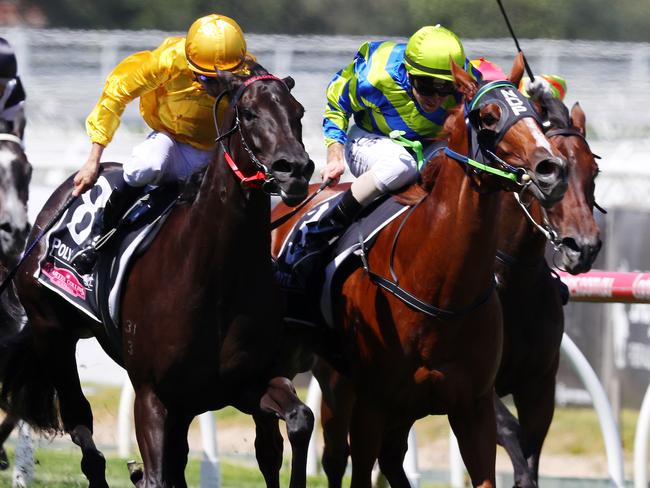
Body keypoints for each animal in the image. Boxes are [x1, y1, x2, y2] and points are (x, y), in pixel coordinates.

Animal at [0, 62, 314, 488]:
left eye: (298, 113)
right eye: (249, 113)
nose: (295, 169)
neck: (214, 277)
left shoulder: (244, 382)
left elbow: (298, 421)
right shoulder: (152, 393)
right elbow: (155, 474)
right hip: (53, 333)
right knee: (82, 428)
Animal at [270, 53, 564, 488]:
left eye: (534, 114)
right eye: (488, 117)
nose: (551, 169)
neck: (441, 290)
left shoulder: (474, 407)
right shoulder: (373, 403)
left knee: (390, 458)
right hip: (337, 381)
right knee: (336, 456)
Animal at [494, 96, 600, 488]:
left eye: (594, 172)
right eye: (548, 172)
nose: (583, 247)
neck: (511, 285)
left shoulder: (540, 384)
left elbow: (531, 450)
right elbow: (510, 431)